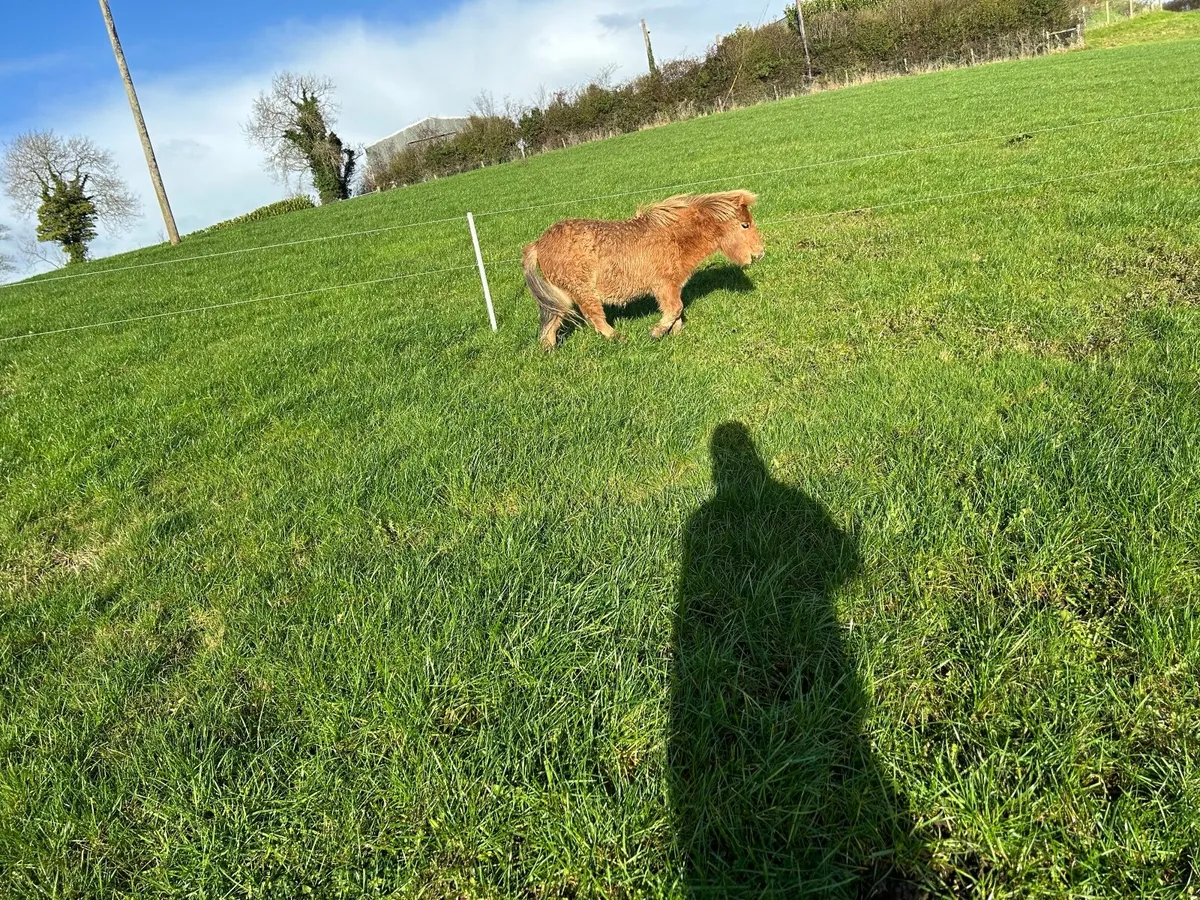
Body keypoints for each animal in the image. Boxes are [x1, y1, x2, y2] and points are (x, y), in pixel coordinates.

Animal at [521, 190, 765, 349]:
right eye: (745, 225)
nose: (760, 253)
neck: (674, 238)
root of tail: (538, 244)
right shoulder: (663, 286)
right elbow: (675, 309)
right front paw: (657, 332)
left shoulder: (672, 287)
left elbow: (676, 311)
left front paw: (675, 333)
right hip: (583, 292)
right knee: (595, 317)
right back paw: (618, 338)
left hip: (561, 297)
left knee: (551, 322)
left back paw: (549, 349)